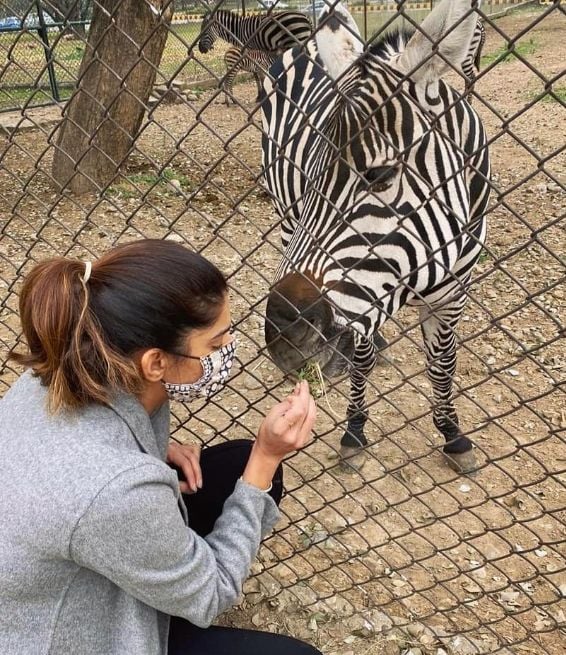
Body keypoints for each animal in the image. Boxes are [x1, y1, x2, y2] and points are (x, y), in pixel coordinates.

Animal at [261, 0, 490, 473]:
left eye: (379, 175)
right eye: (310, 178)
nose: (282, 337)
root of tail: (305, 42)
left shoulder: (455, 291)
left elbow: (443, 366)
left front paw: (453, 435)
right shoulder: (365, 293)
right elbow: (361, 360)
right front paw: (354, 431)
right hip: (283, 212)